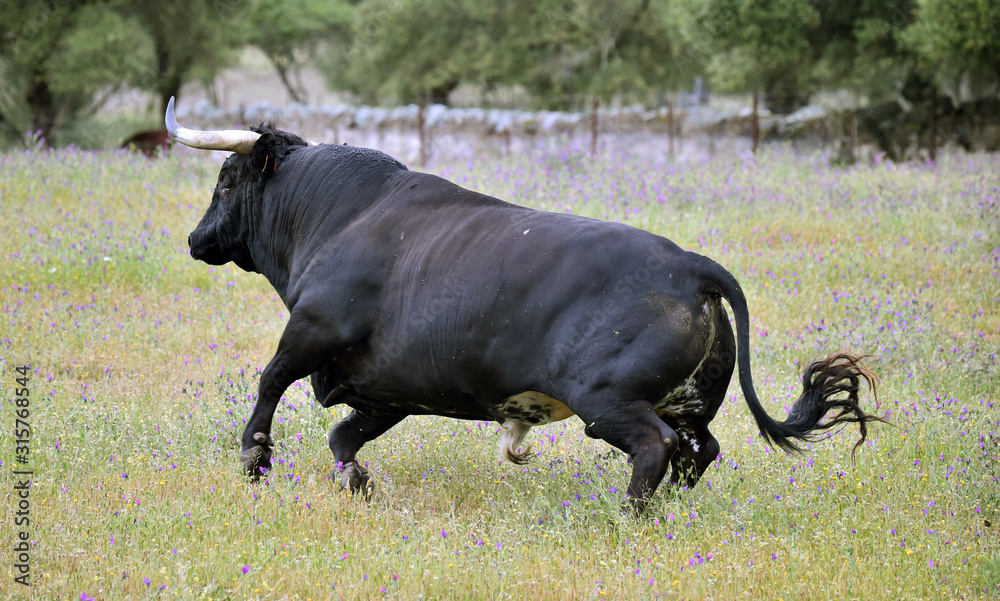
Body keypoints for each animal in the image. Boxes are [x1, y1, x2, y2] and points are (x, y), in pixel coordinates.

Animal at [165, 97, 882, 511]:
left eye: (225, 181)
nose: (196, 239)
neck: (340, 214)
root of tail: (690, 265)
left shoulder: (313, 330)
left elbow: (269, 380)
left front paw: (254, 459)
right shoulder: (389, 389)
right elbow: (344, 436)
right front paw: (359, 485)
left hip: (606, 398)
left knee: (655, 446)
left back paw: (629, 517)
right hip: (690, 401)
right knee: (697, 450)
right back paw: (672, 511)